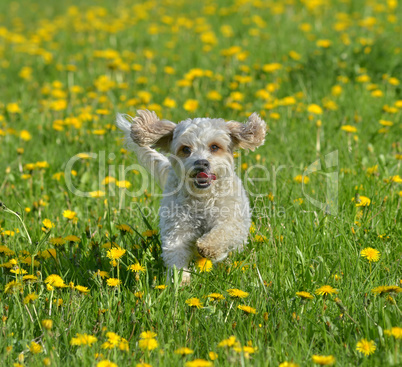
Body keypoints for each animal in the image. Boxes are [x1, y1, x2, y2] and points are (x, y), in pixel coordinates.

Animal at [117, 110, 266, 284]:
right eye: (186, 149)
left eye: (214, 147)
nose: (201, 163)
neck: (202, 199)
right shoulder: (177, 229)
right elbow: (176, 254)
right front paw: (180, 280)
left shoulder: (234, 221)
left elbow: (224, 231)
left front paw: (208, 246)